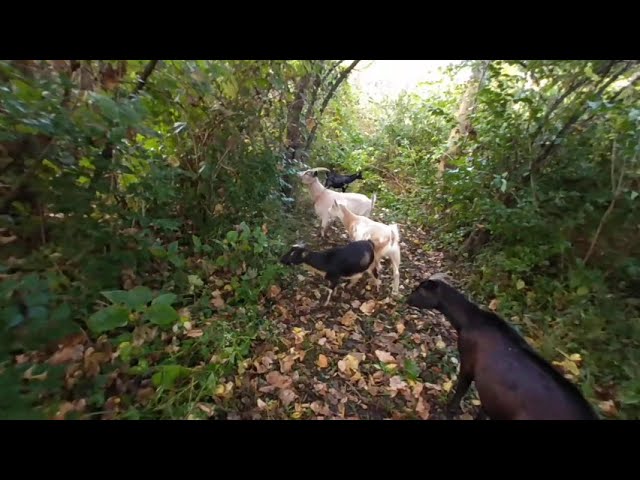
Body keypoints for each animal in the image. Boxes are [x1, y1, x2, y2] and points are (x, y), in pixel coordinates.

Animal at [404, 274, 600, 420]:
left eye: (419, 290)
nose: (407, 298)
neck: (466, 321)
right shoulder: (493, 396)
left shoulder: (468, 363)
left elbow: (460, 391)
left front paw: (448, 411)